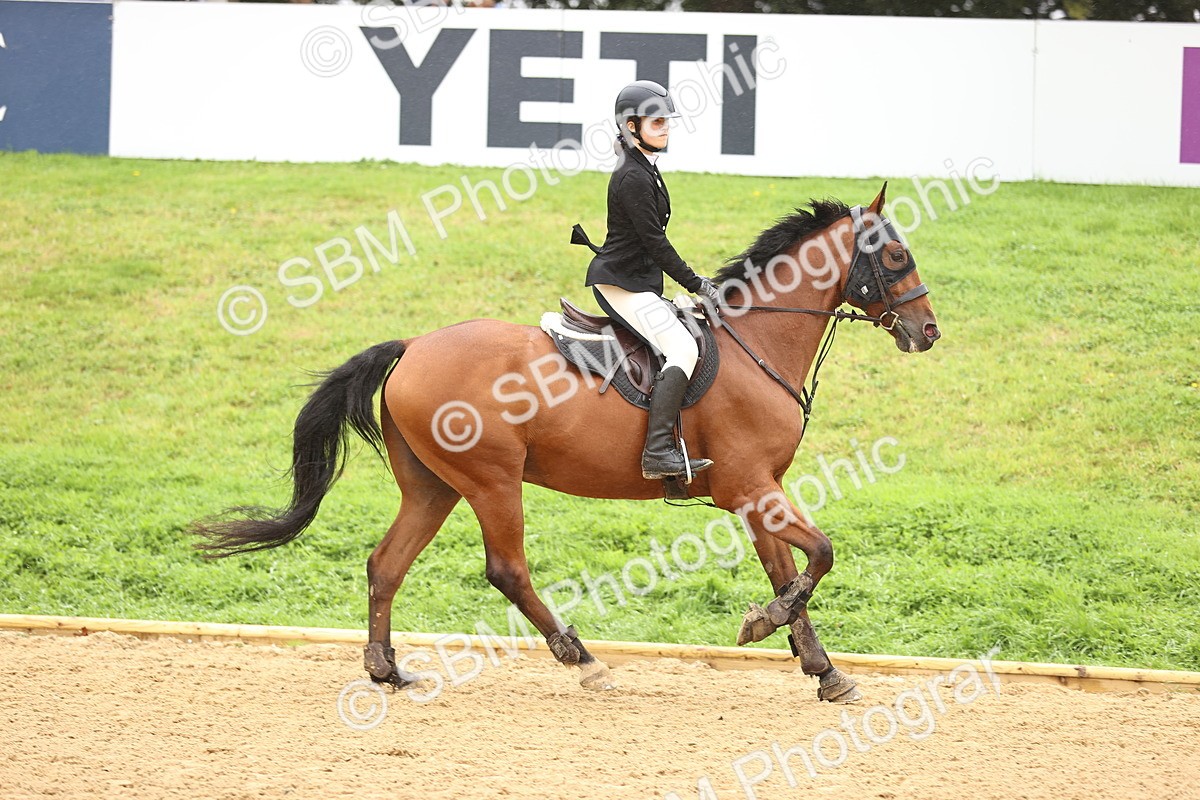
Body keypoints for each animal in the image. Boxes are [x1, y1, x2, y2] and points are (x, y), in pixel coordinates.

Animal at [192, 184, 940, 704]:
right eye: (896, 256)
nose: (929, 332)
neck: (756, 340)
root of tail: (412, 348)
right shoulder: (749, 487)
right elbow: (821, 556)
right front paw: (765, 628)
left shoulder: (758, 492)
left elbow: (791, 573)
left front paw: (823, 670)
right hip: (493, 481)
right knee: (506, 570)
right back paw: (583, 660)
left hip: (433, 487)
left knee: (386, 564)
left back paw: (387, 671)